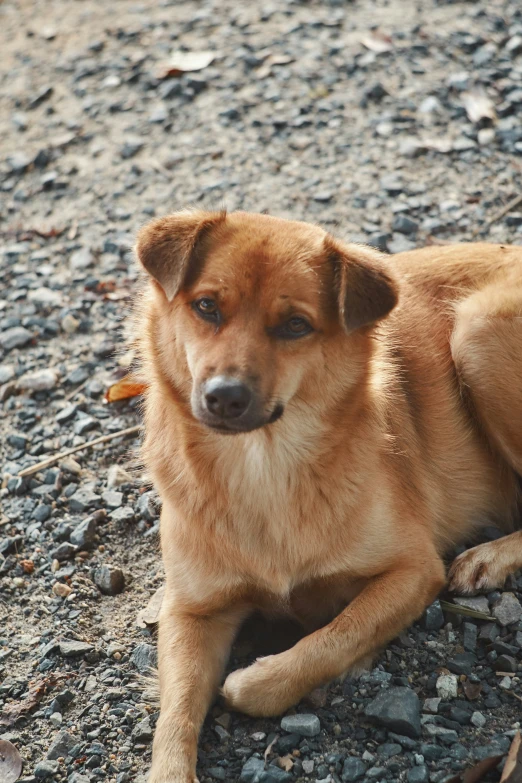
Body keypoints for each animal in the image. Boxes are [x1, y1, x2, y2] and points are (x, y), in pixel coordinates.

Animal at [133, 210, 520, 783]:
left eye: (296, 325)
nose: (224, 397)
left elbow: (333, 637)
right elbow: (174, 715)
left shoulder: (413, 571)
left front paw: (252, 680)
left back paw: (490, 557)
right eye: (206, 307)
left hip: (477, 331)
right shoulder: (191, 610)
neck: (263, 463)